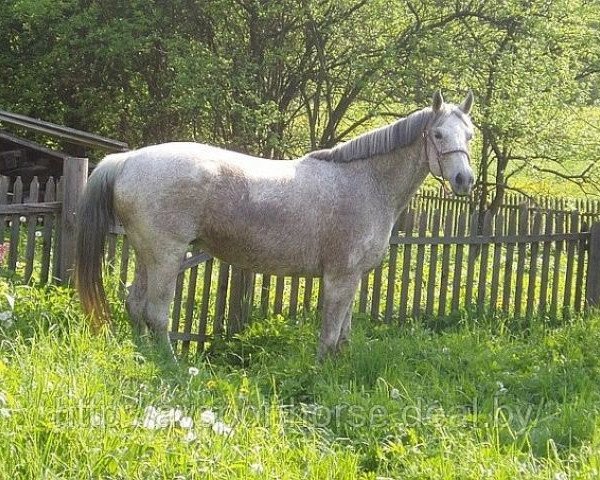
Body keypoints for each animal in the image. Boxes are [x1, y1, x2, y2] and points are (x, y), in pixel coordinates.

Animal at [77, 92, 476, 358]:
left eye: (469, 135)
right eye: (438, 135)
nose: (464, 179)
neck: (364, 181)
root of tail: (127, 159)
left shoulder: (355, 277)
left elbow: (344, 335)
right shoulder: (340, 277)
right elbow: (329, 334)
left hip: (148, 254)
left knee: (135, 305)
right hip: (166, 256)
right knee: (157, 314)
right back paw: (171, 366)